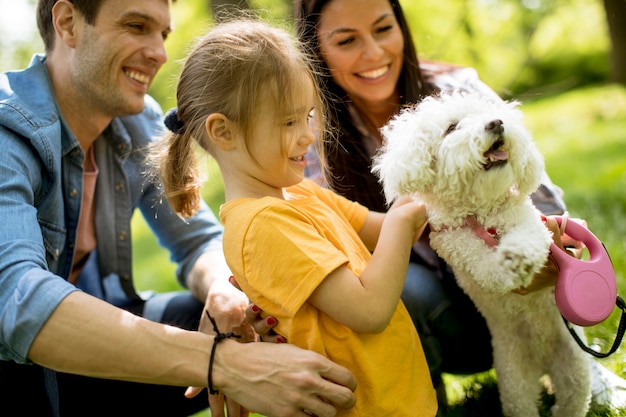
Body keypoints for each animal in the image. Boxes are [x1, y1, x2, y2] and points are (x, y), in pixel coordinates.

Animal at [370, 92, 588, 416]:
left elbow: (529, 236)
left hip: (573, 367)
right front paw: (506, 265)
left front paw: (517, 255)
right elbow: (485, 267)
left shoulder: (528, 222)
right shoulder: (455, 243)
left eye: (491, 114)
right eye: (452, 128)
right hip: (515, 382)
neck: (481, 212)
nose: (496, 123)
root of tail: (541, 363)